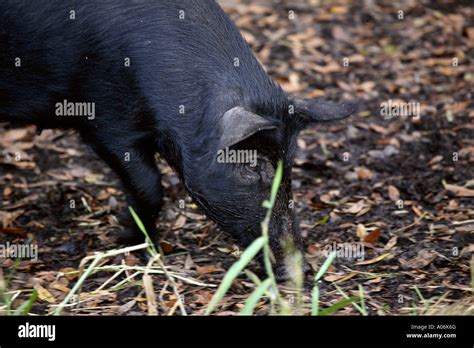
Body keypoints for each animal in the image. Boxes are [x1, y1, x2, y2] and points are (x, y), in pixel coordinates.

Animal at [0, 0, 356, 280]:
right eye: (253, 167)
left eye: (290, 168)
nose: (303, 270)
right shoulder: (106, 121)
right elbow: (149, 186)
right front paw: (136, 246)